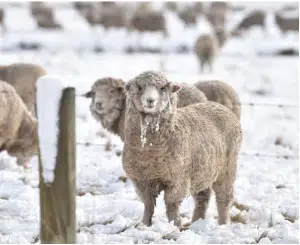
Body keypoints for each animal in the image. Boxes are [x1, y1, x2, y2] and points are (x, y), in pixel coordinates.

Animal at [122, 70, 241, 227]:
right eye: (139, 87)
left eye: (163, 88)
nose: (150, 100)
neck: (150, 152)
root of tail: (218, 106)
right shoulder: (141, 180)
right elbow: (148, 205)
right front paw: (144, 224)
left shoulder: (178, 179)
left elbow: (171, 204)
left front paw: (175, 225)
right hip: (203, 170)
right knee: (203, 197)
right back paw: (197, 222)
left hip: (227, 169)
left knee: (224, 198)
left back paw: (223, 224)